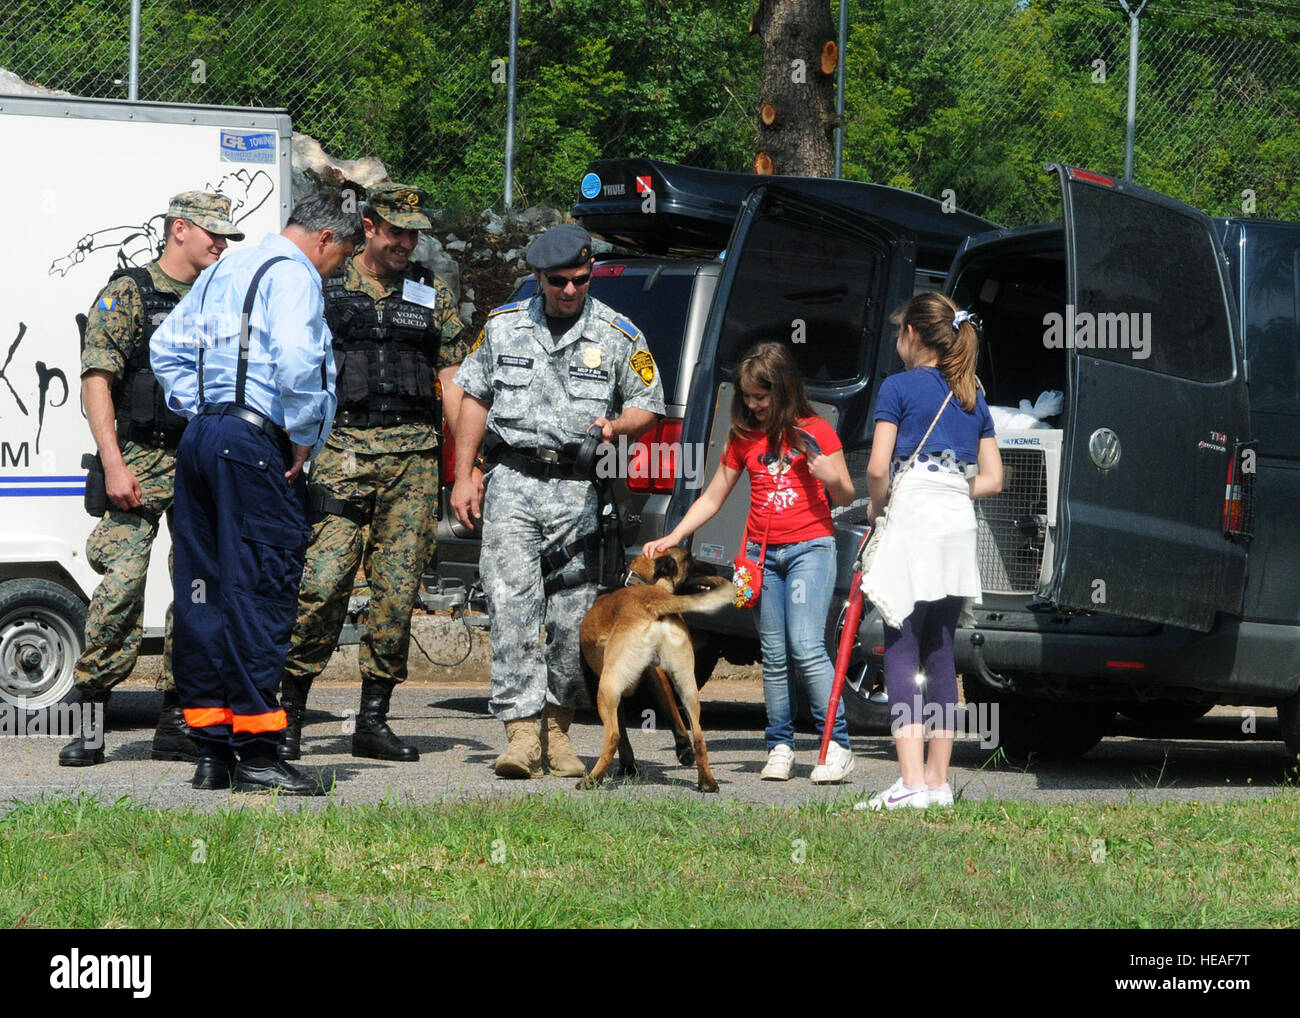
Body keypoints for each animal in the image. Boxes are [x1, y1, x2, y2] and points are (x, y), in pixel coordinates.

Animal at [577, 548, 733, 795]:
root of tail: (654, 602)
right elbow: (671, 713)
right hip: (687, 687)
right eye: (690, 559)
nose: (714, 569)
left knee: (613, 736)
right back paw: (707, 782)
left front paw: (628, 766)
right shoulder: (656, 674)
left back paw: (592, 780)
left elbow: (623, 733)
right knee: (699, 737)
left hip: (607, 688)